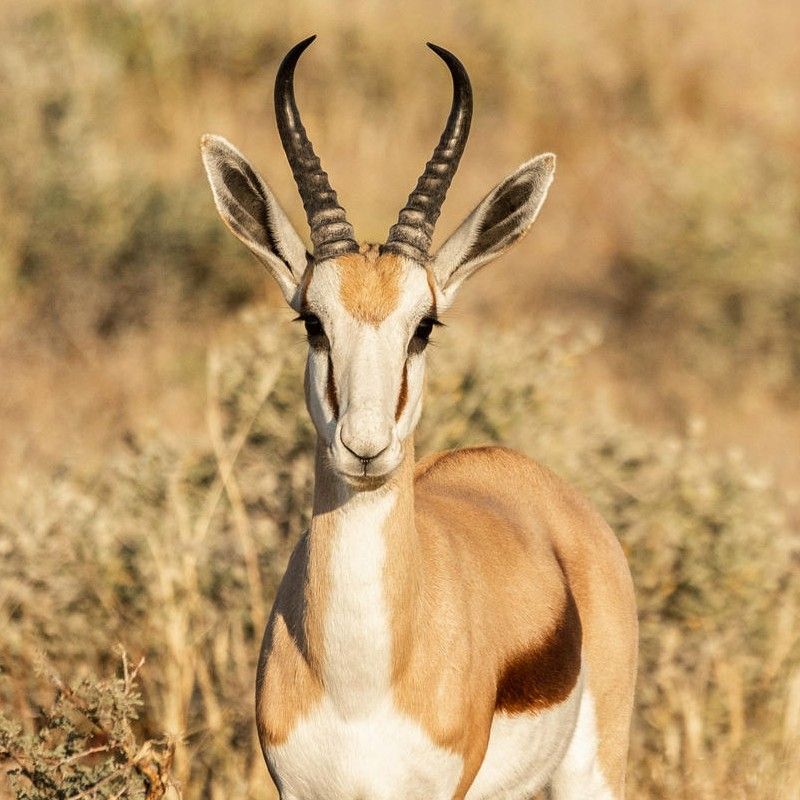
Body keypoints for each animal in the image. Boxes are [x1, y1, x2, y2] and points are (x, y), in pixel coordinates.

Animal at [201, 36, 637, 800]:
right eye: (312, 320)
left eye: (425, 325)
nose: (365, 446)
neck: (360, 689)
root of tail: (522, 474)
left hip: (593, 775)